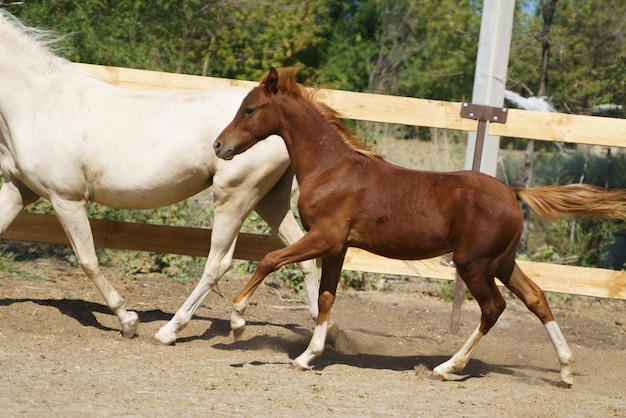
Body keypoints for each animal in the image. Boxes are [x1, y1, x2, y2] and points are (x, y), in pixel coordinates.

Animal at [0, 10, 316, 342]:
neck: (41, 103)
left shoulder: (66, 200)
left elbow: (88, 261)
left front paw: (128, 321)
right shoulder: (18, 189)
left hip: (234, 196)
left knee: (217, 264)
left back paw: (171, 330)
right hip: (268, 200)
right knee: (300, 254)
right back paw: (277, 324)